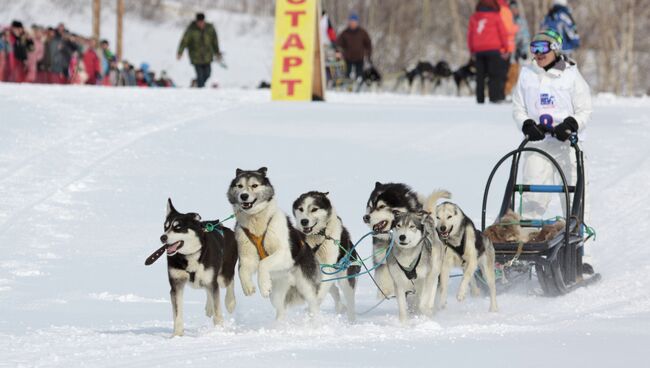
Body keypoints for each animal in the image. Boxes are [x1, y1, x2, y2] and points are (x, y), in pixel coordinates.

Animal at [159, 198, 238, 336]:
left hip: (223, 276)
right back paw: (209, 308)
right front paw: (177, 335)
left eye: (178, 227)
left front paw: (219, 330)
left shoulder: (211, 280)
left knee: (229, 282)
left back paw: (230, 303)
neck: (190, 255)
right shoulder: (176, 284)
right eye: (166, 226)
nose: (163, 237)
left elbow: (218, 311)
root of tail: (223, 227)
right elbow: (178, 314)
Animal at [227, 167, 320, 320]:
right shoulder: (247, 256)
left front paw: (263, 287)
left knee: (313, 305)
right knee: (281, 309)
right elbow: (242, 270)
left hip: (305, 285)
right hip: (277, 293)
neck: (256, 222)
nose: (244, 196)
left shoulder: (284, 254)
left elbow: (263, 264)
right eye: (239, 186)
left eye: (254, 185)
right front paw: (248, 287)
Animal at [292, 191, 360, 320]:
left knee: (349, 302)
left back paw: (351, 320)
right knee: (335, 291)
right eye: (301, 209)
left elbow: (318, 295)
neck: (319, 236)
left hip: (345, 280)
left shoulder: (328, 267)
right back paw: (339, 307)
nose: (304, 221)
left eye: (314, 209)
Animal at [384, 190, 446, 322]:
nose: (402, 237)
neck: (407, 256)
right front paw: (404, 324)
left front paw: (425, 312)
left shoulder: (424, 280)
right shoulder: (399, 283)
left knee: (430, 291)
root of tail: (427, 219)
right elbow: (402, 308)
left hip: (433, 273)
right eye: (398, 225)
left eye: (412, 226)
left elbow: (422, 303)